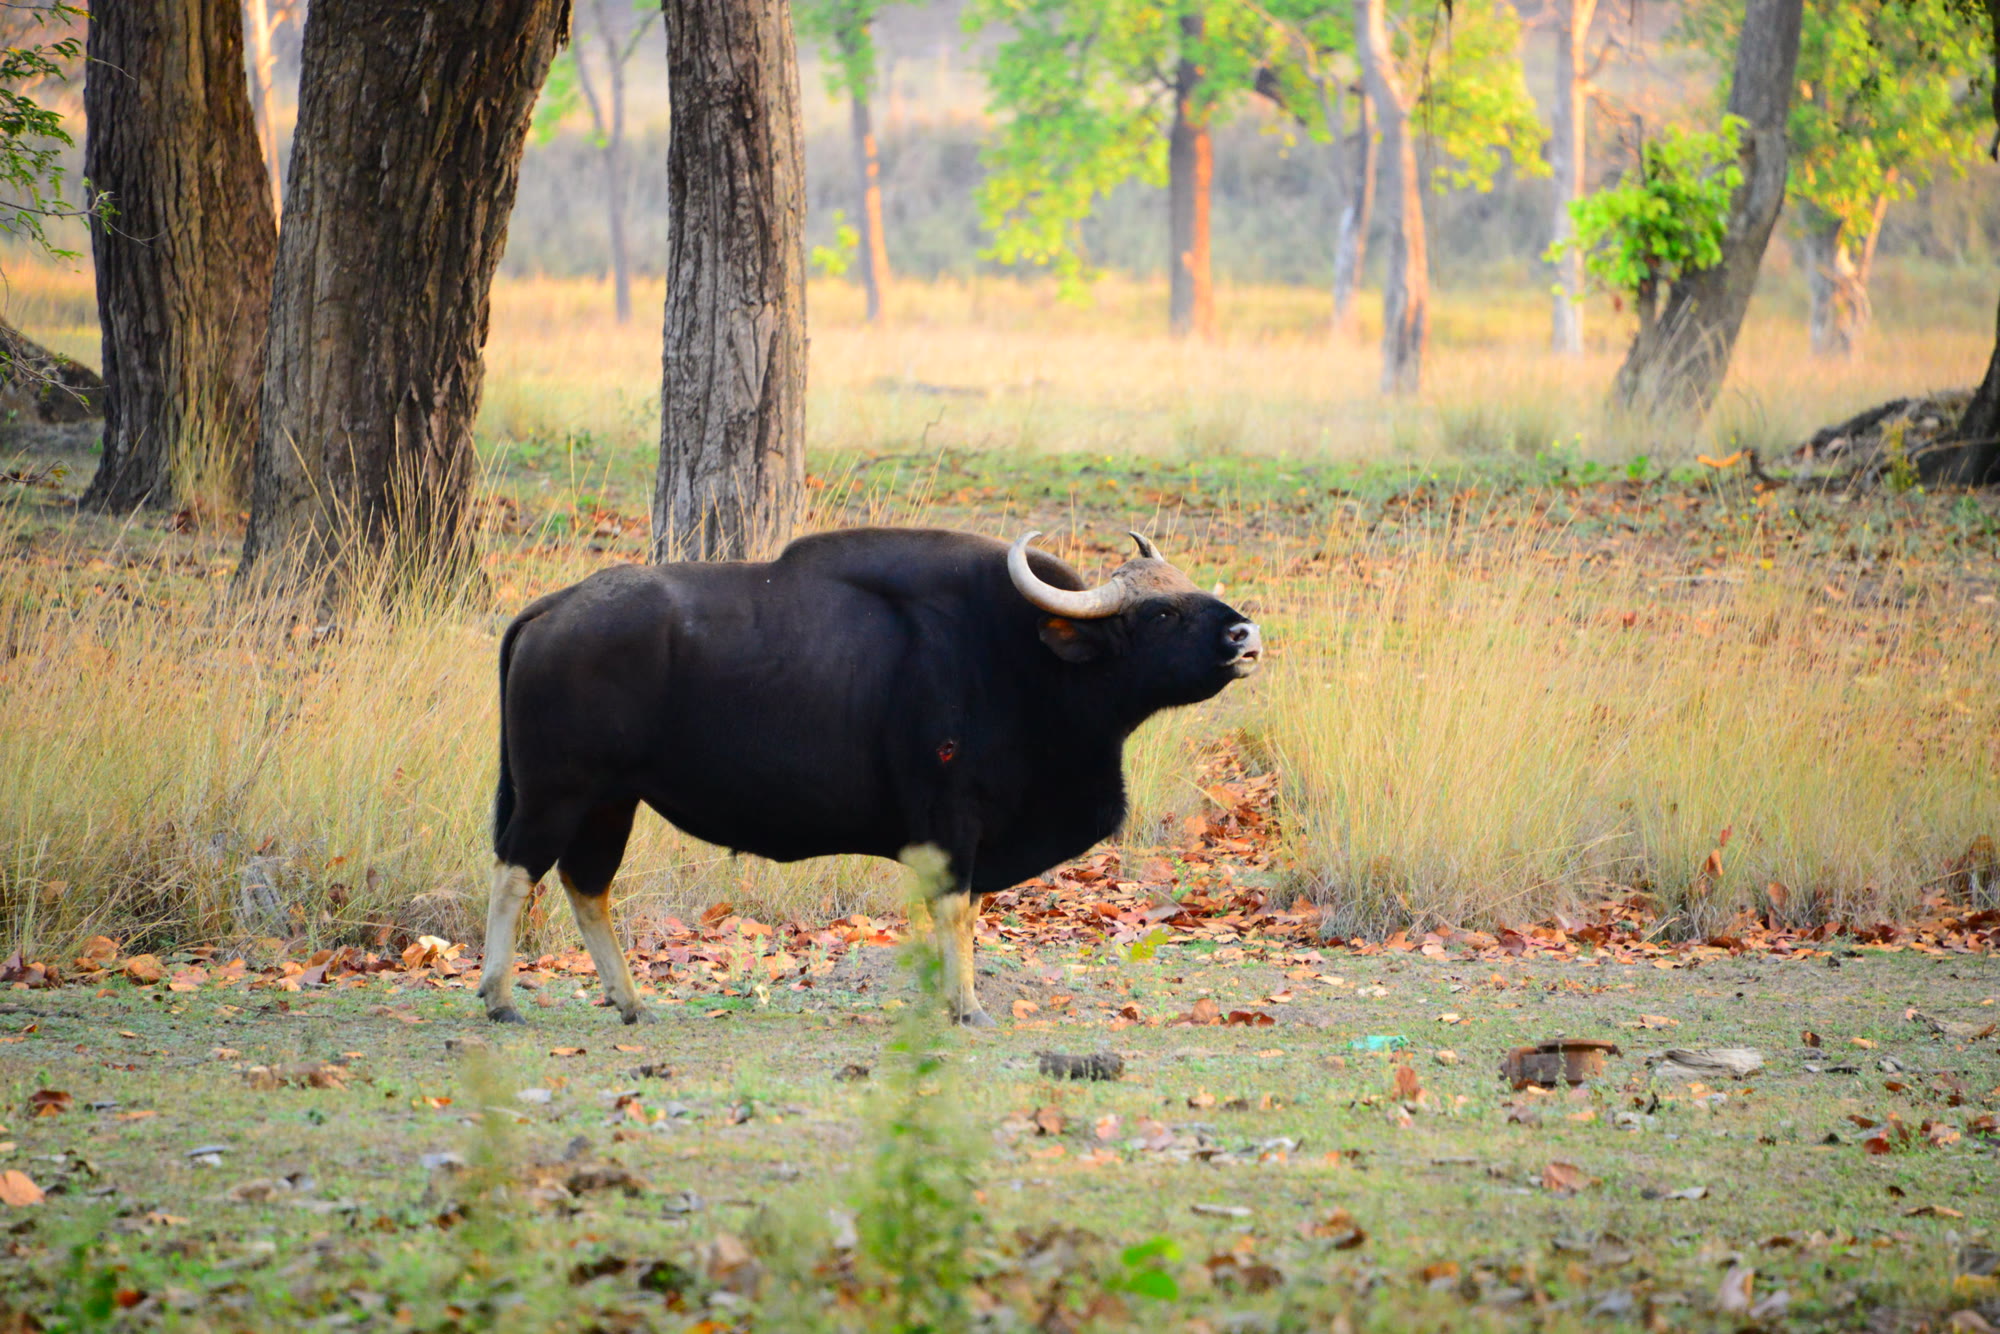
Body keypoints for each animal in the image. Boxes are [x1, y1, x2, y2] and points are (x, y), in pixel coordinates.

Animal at [479, 527, 1262, 1026]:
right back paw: (500, 997)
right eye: (1160, 612)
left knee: (587, 885)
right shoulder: (951, 820)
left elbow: (967, 910)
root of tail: (549, 610)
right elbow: (956, 909)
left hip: (611, 802)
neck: (1021, 657)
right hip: (557, 793)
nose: (1245, 635)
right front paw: (968, 1007)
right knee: (516, 873)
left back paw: (631, 1001)